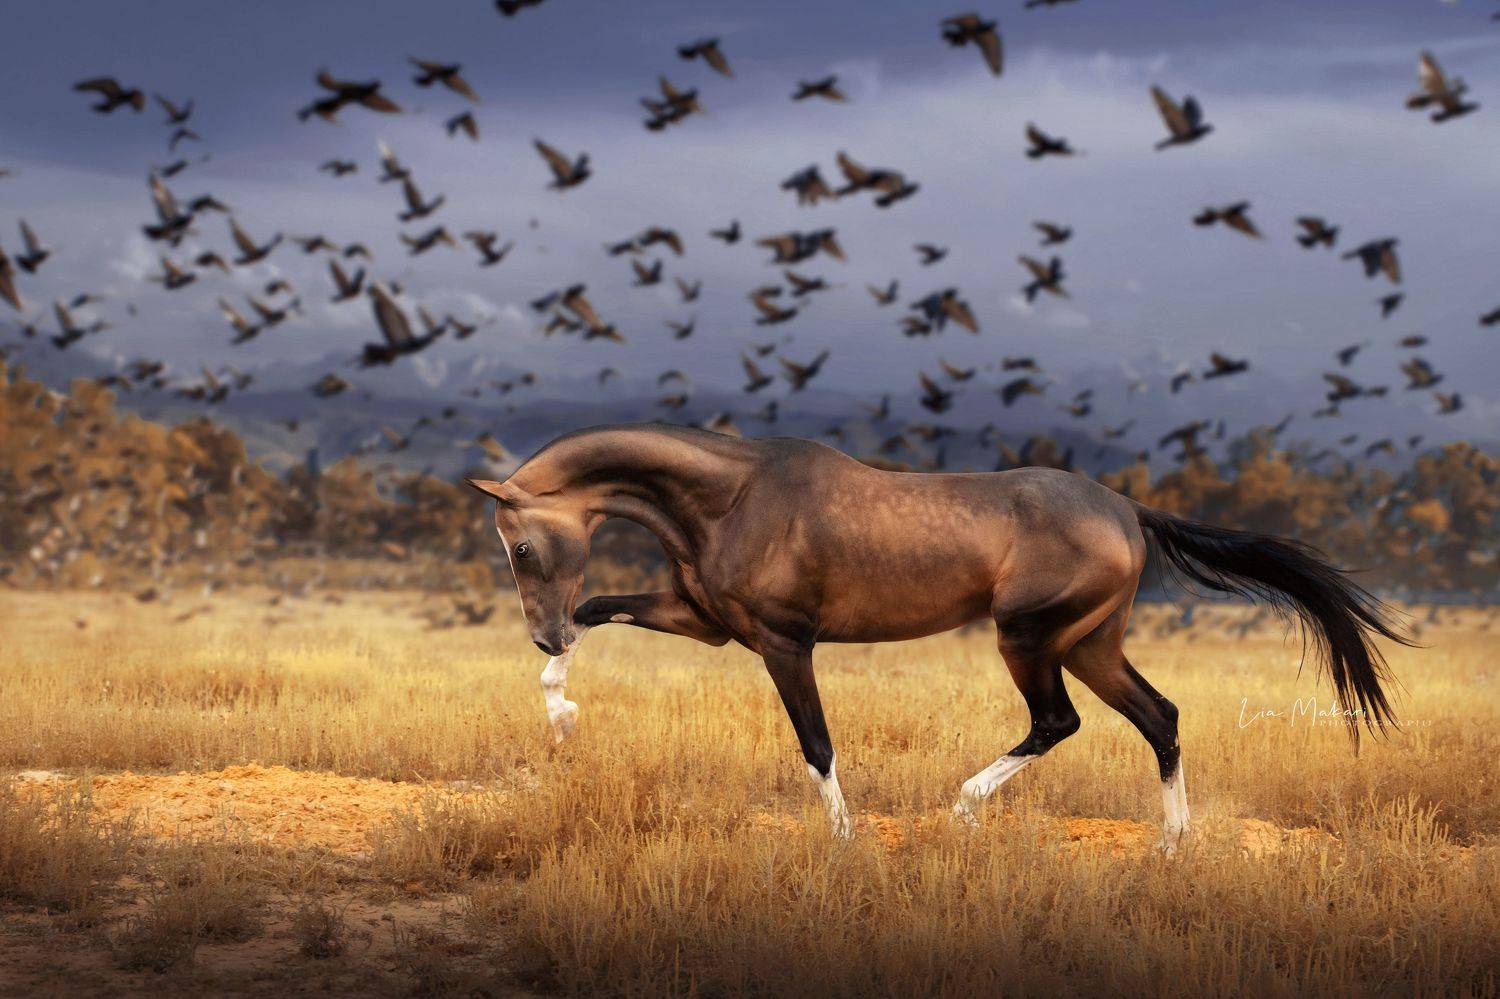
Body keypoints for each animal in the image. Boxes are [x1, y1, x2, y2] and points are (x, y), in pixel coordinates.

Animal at [466, 423, 1405, 846]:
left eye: (521, 546)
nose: (537, 635)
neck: (733, 498)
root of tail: (1126, 508)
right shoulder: (705, 623)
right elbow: (600, 611)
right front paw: (561, 712)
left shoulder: (783, 641)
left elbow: (816, 741)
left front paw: (845, 840)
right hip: (1089, 643)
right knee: (1160, 715)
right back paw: (1173, 842)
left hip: (1029, 637)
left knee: (1059, 720)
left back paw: (963, 806)